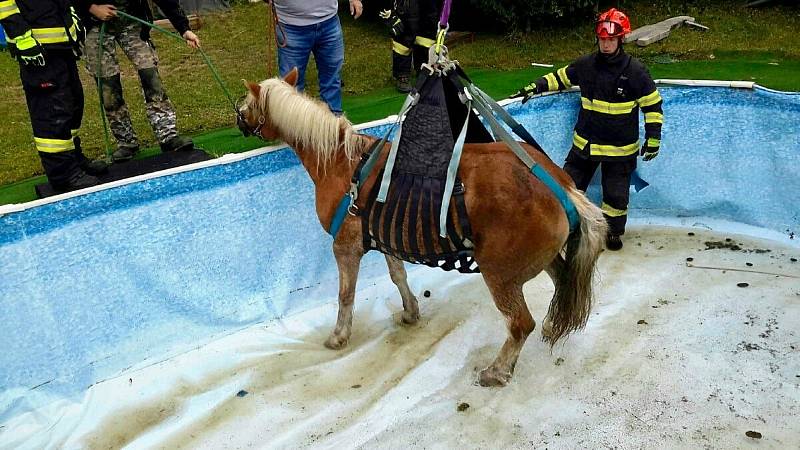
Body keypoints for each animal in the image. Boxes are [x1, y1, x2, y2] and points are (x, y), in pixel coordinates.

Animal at [238, 70, 608, 386]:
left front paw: (339, 335)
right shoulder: (383, 234)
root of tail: (562, 186)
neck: (342, 162)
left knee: (519, 324)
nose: (238, 117)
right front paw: (410, 311)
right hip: (542, 258)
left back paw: (498, 370)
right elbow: (398, 275)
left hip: (500, 273)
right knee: (560, 285)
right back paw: (549, 326)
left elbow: (345, 295)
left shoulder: (345, 246)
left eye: (247, 102)